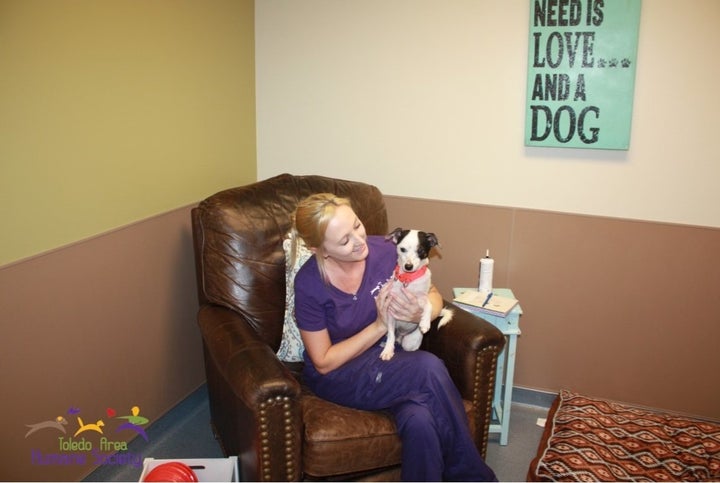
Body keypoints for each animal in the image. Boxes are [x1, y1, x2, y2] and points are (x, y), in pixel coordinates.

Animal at [380, 229, 452, 362]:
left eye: (421, 251)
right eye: (402, 249)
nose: (408, 266)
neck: (408, 280)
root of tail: (401, 336)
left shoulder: (423, 298)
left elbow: (429, 306)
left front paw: (425, 323)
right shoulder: (391, 311)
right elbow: (391, 335)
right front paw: (388, 350)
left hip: (409, 343)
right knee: (393, 337)